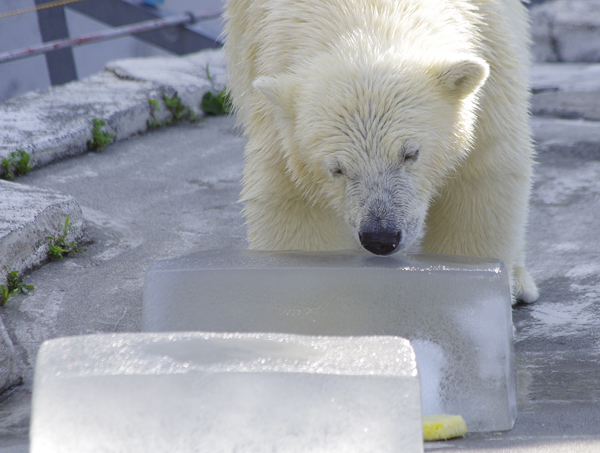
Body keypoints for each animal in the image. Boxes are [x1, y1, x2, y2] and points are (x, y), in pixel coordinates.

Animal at [224, 0, 540, 304]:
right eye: (337, 169)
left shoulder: (490, 48)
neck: (368, 11)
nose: (380, 236)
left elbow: (482, 175)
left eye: (410, 154)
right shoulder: (275, 110)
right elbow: (292, 203)